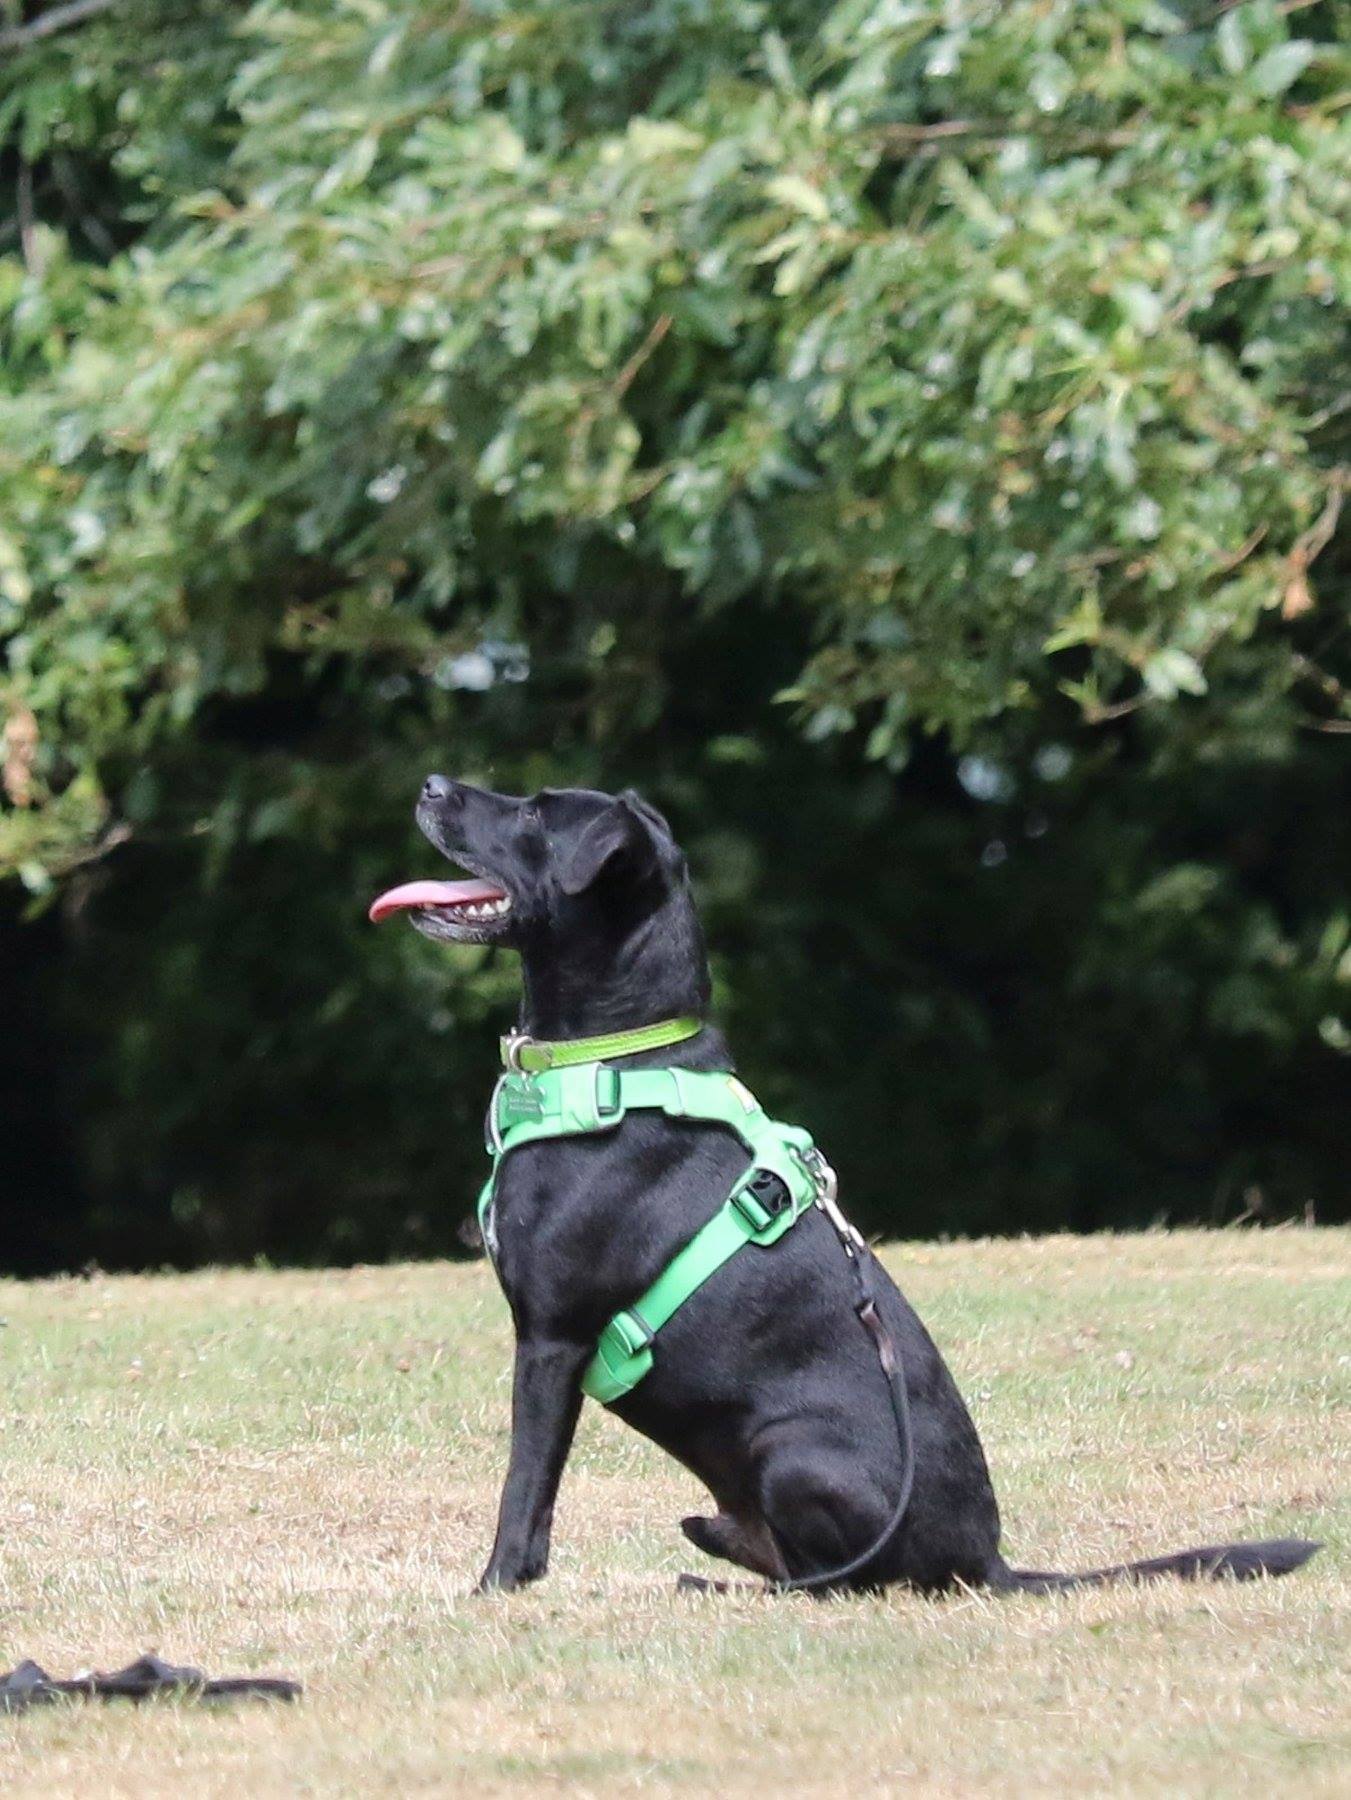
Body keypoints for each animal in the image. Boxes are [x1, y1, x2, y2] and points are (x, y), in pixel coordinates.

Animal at [377, 781, 1324, 1598]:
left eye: (536, 812)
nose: (430, 785)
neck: (612, 1059)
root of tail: (986, 1563)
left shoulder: (552, 1338)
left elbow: (524, 1485)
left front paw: (495, 1586)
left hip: (789, 1450)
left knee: (845, 1581)